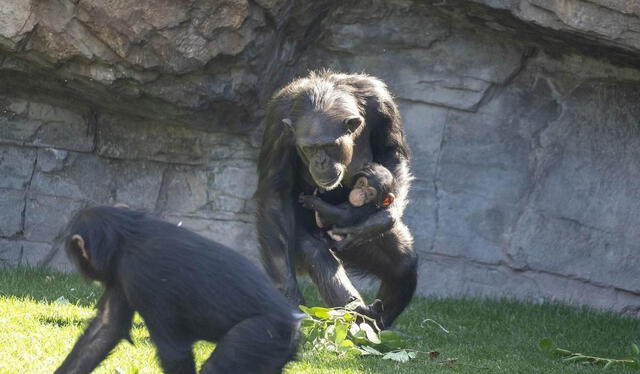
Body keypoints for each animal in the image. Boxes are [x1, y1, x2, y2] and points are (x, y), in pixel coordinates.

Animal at [53, 205, 298, 374]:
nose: (82, 272)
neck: (126, 239)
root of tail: (295, 322)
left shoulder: (144, 278)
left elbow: (173, 352)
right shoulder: (121, 278)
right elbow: (107, 327)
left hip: (260, 334)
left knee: (220, 365)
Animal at [258, 70, 418, 328]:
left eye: (329, 145)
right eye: (310, 148)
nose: (321, 161)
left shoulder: (382, 102)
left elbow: (390, 151)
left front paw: (383, 219)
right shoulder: (277, 122)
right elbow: (274, 193)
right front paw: (290, 302)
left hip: (352, 244)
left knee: (403, 265)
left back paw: (375, 322)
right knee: (316, 253)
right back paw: (357, 316)